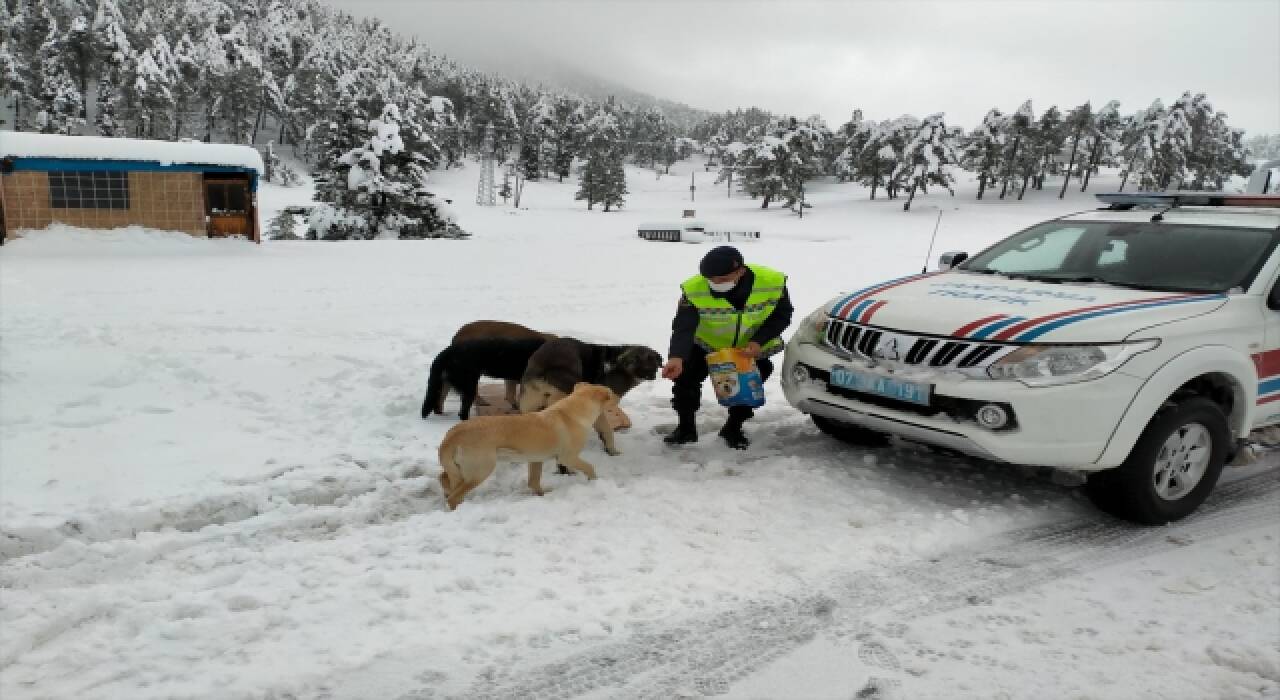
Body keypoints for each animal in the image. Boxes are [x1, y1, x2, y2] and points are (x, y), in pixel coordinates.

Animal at [437, 383, 622, 509]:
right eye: (611, 394)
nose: (620, 396)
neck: (572, 413)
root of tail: (452, 435)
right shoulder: (567, 458)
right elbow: (590, 467)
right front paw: (594, 481)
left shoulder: (535, 459)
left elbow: (534, 481)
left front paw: (541, 495)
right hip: (481, 470)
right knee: (454, 497)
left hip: (459, 469)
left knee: (443, 478)